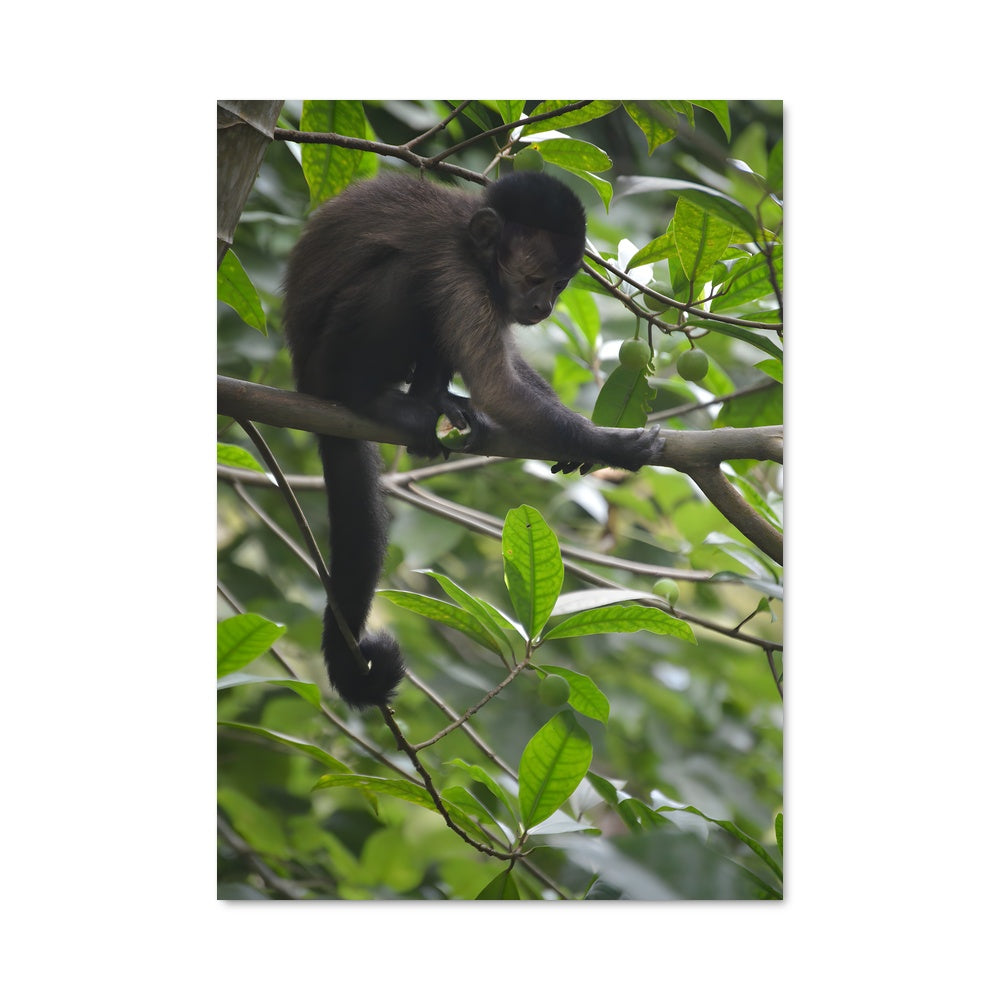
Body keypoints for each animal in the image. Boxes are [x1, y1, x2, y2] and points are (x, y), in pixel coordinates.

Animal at [282, 171, 661, 710]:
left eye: (561, 285)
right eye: (535, 279)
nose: (545, 307)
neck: (474, 244)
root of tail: (303, 377)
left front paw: (576, 447)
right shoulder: (458, 271)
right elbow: (498, 386)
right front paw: (612, 446)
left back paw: (433, 399)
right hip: (326, 362)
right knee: (405, 276)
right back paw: (367, 398)